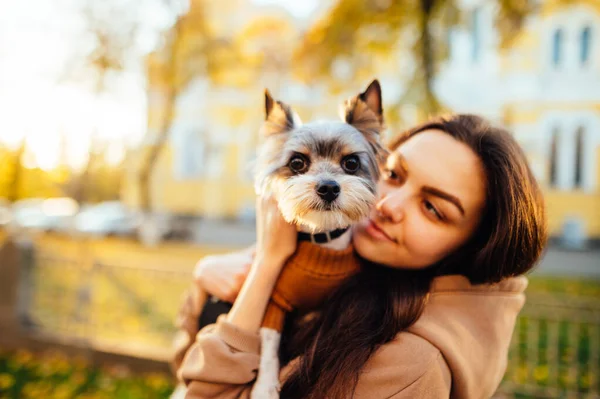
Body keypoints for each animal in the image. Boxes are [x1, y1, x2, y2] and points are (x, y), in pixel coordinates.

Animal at [251, 79, 386, 398]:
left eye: (351, 163)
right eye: (297, 163)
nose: (328, 187)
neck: (323, 243)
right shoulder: (275, 301)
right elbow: (269, 340)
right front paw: (264, 386)